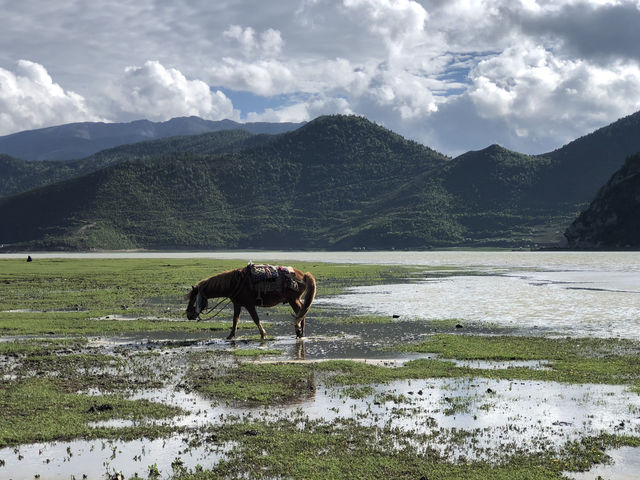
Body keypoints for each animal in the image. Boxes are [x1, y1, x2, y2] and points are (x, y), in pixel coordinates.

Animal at [184, 264, 316, 340]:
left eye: (193, 298)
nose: (188, 314)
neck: (234, 283)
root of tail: (303, 275)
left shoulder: (249, 305)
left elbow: (255, 319)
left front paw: (263, 334)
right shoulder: (237, 304)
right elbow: (235, 320)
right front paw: (230, 336)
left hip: (293, 299)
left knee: (301, 312)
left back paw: (300, 333)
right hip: (294, 300)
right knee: (301, 311)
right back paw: (300, 332)